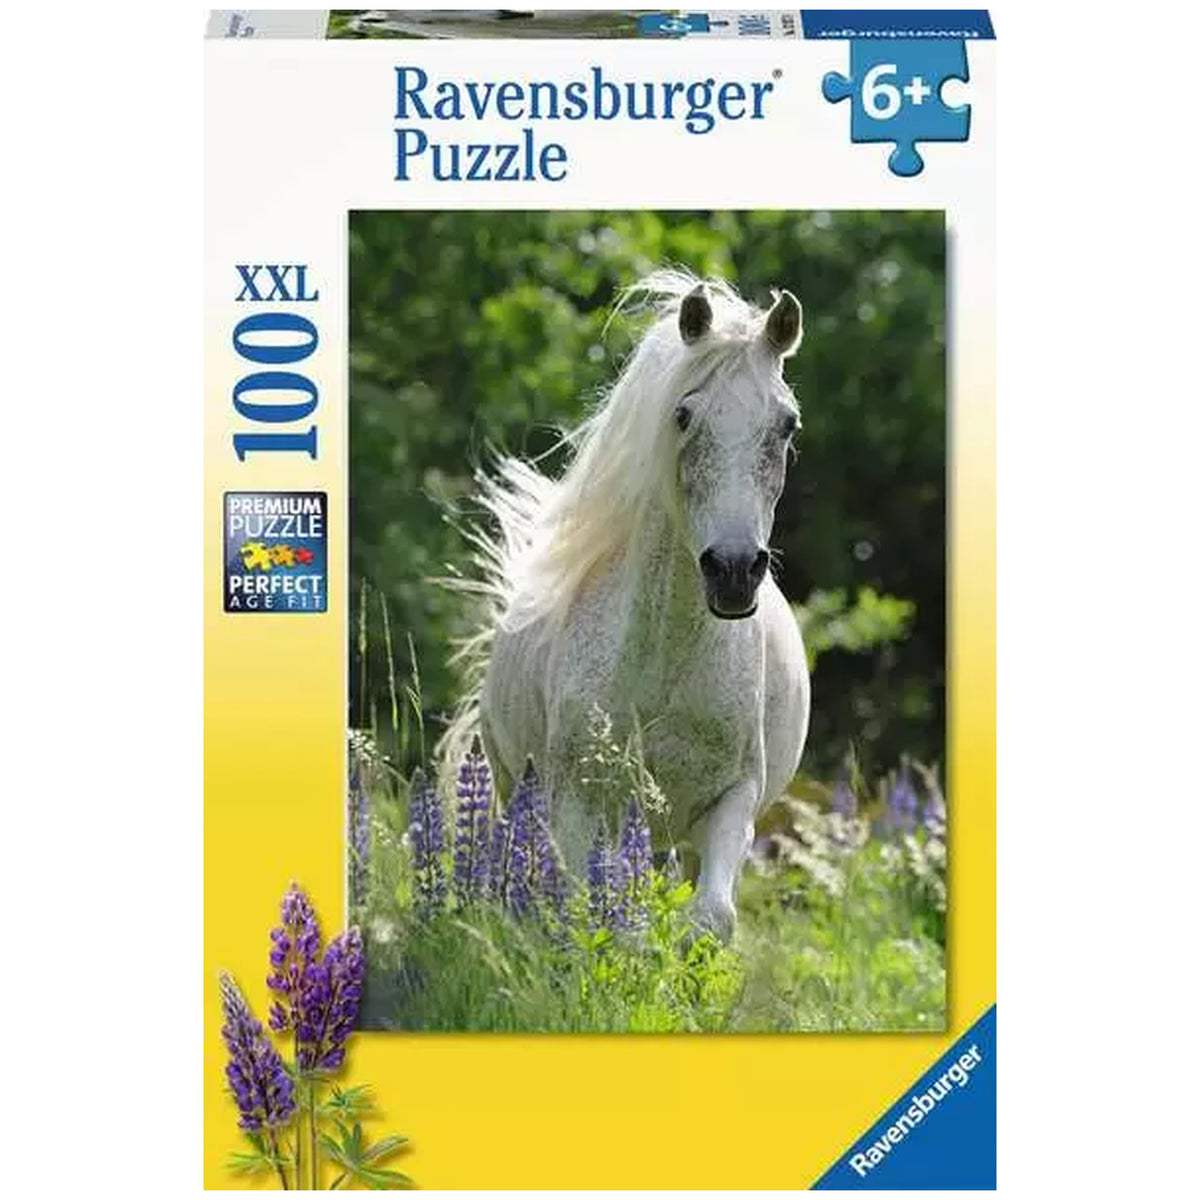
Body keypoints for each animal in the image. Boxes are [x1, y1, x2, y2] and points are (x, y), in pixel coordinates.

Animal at [449, 270, 810, 939]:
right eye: (684, 414)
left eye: (787, 424)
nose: (733, 571)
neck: (665, 664)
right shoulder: (578, 803)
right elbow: (593, 913)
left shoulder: (732, 802)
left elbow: (710, 917)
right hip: (523, 792)